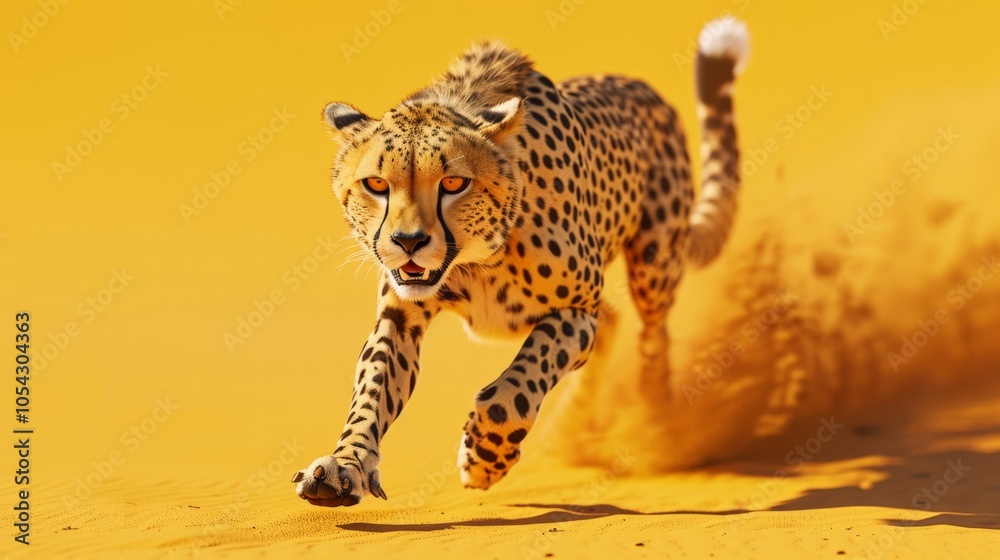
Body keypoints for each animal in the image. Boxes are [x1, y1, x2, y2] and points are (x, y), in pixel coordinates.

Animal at [291, 18, 750, 507]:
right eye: (376, 184)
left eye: (453, 183)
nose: (408, 241)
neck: (477, 258)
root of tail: (642, 87)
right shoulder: (401, 316)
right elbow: (371, 391)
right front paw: (344, 466)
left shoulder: (575, 310)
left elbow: (516, 386)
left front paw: (485, 456)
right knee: (614, 319)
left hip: (654, 265)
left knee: (652, 338)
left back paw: (656, 424)